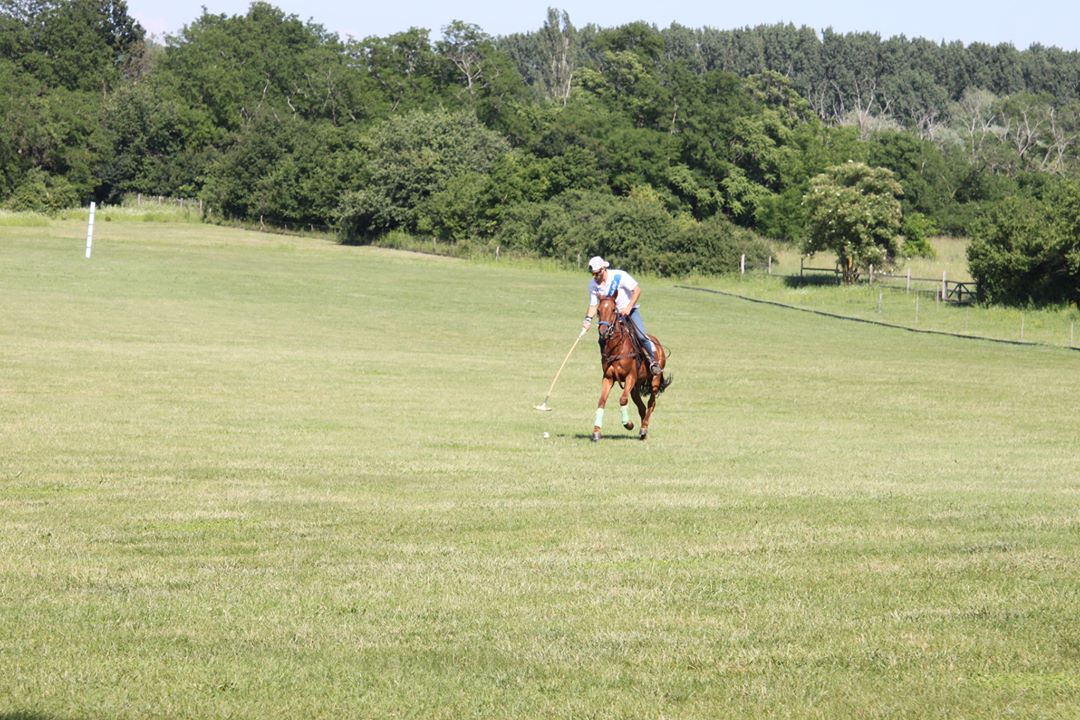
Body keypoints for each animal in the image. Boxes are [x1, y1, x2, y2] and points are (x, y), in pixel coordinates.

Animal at [587, 295, 669, 442]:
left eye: (613, 310)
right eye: (598, 310)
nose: (603, 332)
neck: (617, 348)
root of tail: (657, 342)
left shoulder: (630, 376)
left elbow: (622, 399)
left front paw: (628, 424)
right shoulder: (608, 378)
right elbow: (601, 401)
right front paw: (596, 432)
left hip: (655, 379)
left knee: (651, 403)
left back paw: (643, 428)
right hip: (635, 387)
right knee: (641, 407)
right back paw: (643, 433)